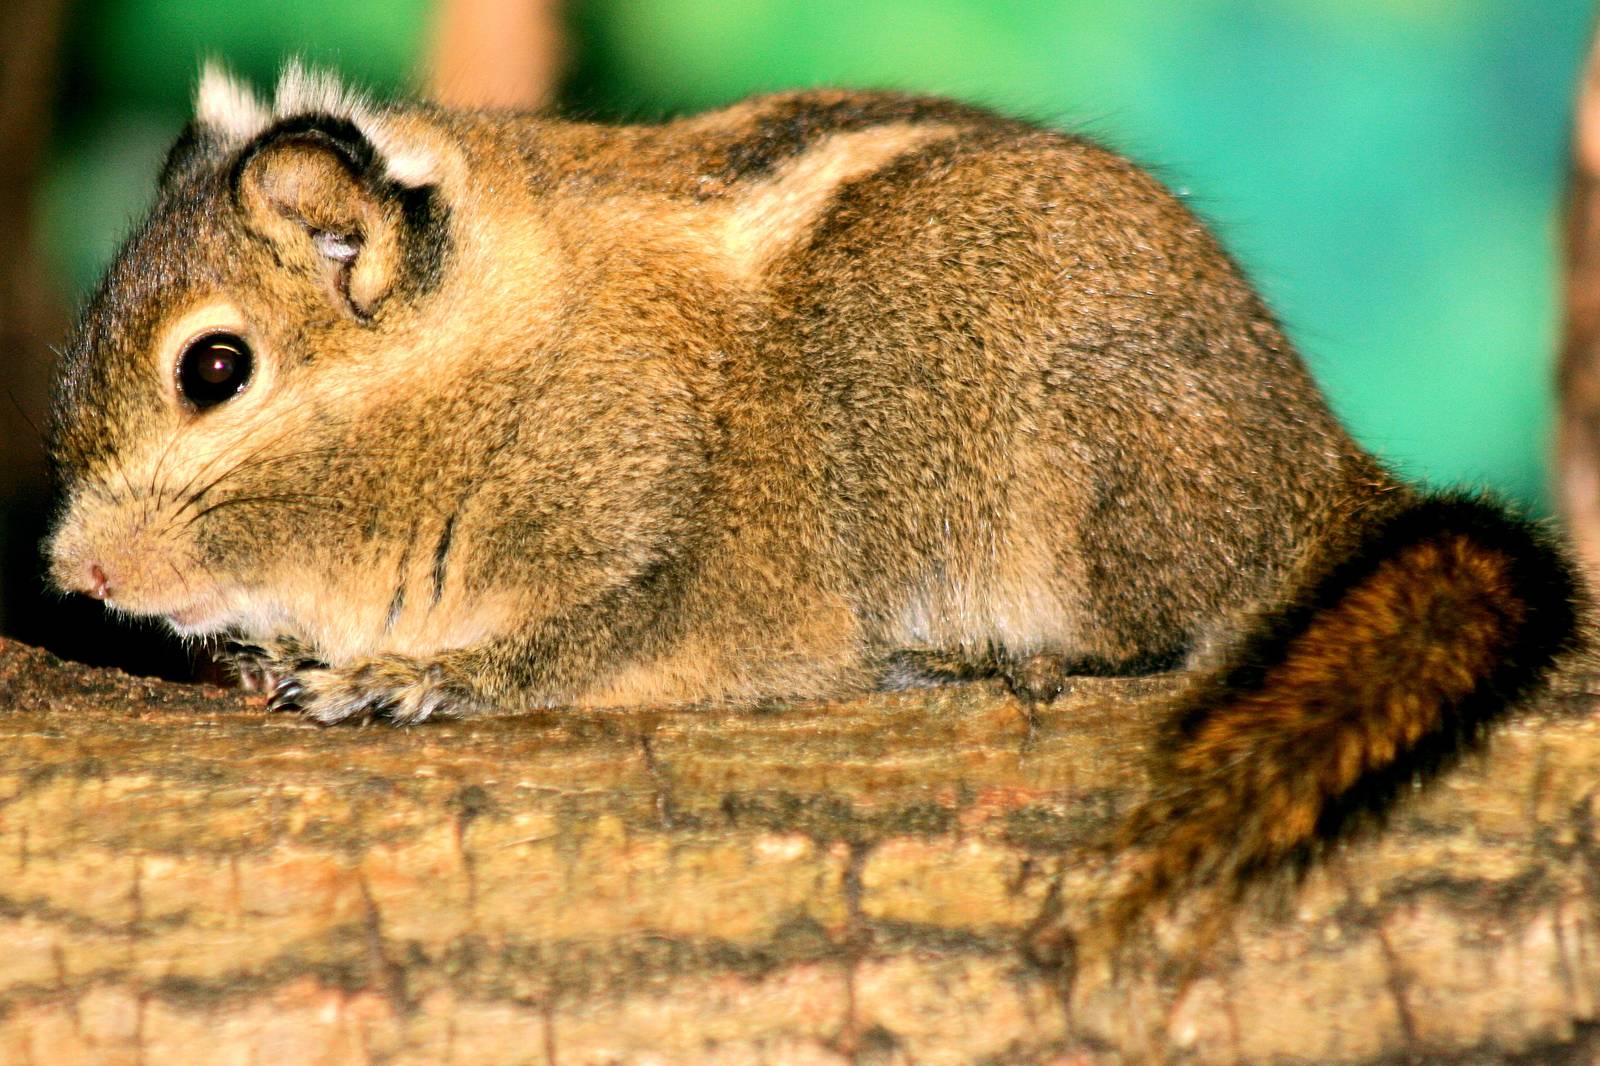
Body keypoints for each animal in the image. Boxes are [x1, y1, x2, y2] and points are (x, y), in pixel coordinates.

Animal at [44, 64, 1581, 926]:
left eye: (216, 366)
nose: (73, 574)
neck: (492, 361)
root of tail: (1316, 464)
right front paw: (272, 648)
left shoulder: (641, 539)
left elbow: (556, 646)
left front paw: (413, 677)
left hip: (1066, 479)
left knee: (1155, 632)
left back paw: (984, 652)